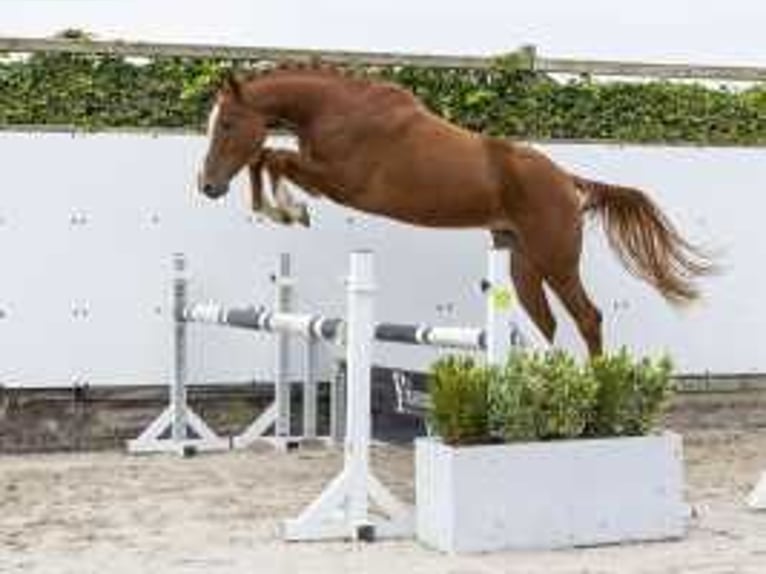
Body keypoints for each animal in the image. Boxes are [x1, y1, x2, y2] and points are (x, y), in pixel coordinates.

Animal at [196, 66, 712, 356]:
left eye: (227, 124)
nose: (207, 186)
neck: (336, 108)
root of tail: (568, 181)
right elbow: (267, 159)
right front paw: (281, 211)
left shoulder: (343, 183)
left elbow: (270, 158)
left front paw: (288, 211)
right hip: (521, 263)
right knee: (545, 324)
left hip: (556, 261)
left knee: (588, 318)